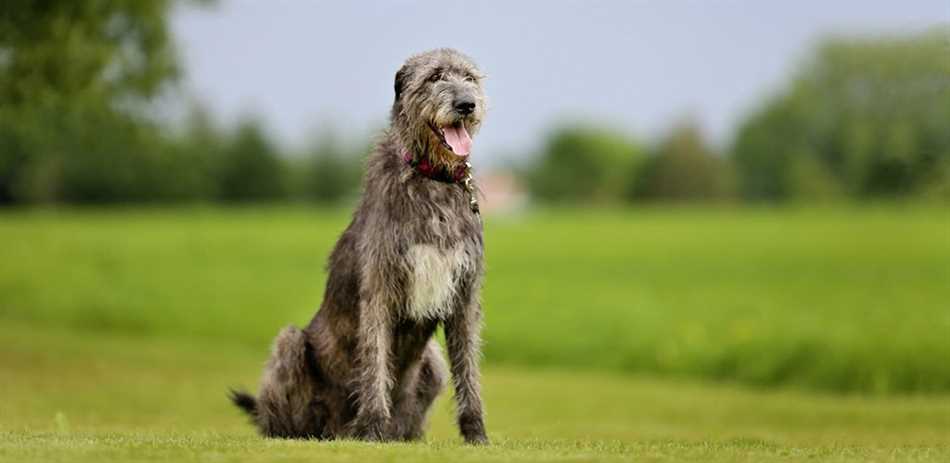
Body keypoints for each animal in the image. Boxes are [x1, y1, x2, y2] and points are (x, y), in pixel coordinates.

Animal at [232, 49, 490, 446]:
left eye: (470, 78)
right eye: (434, 77)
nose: (466, 104)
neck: (432, 179)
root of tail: (334, 429)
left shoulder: (464, 292)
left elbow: (469, 368)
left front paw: (477, 435)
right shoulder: (380, 287)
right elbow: (375, 360)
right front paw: (371, 428)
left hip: (432, 363)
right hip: (290, 345)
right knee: (281, 413)